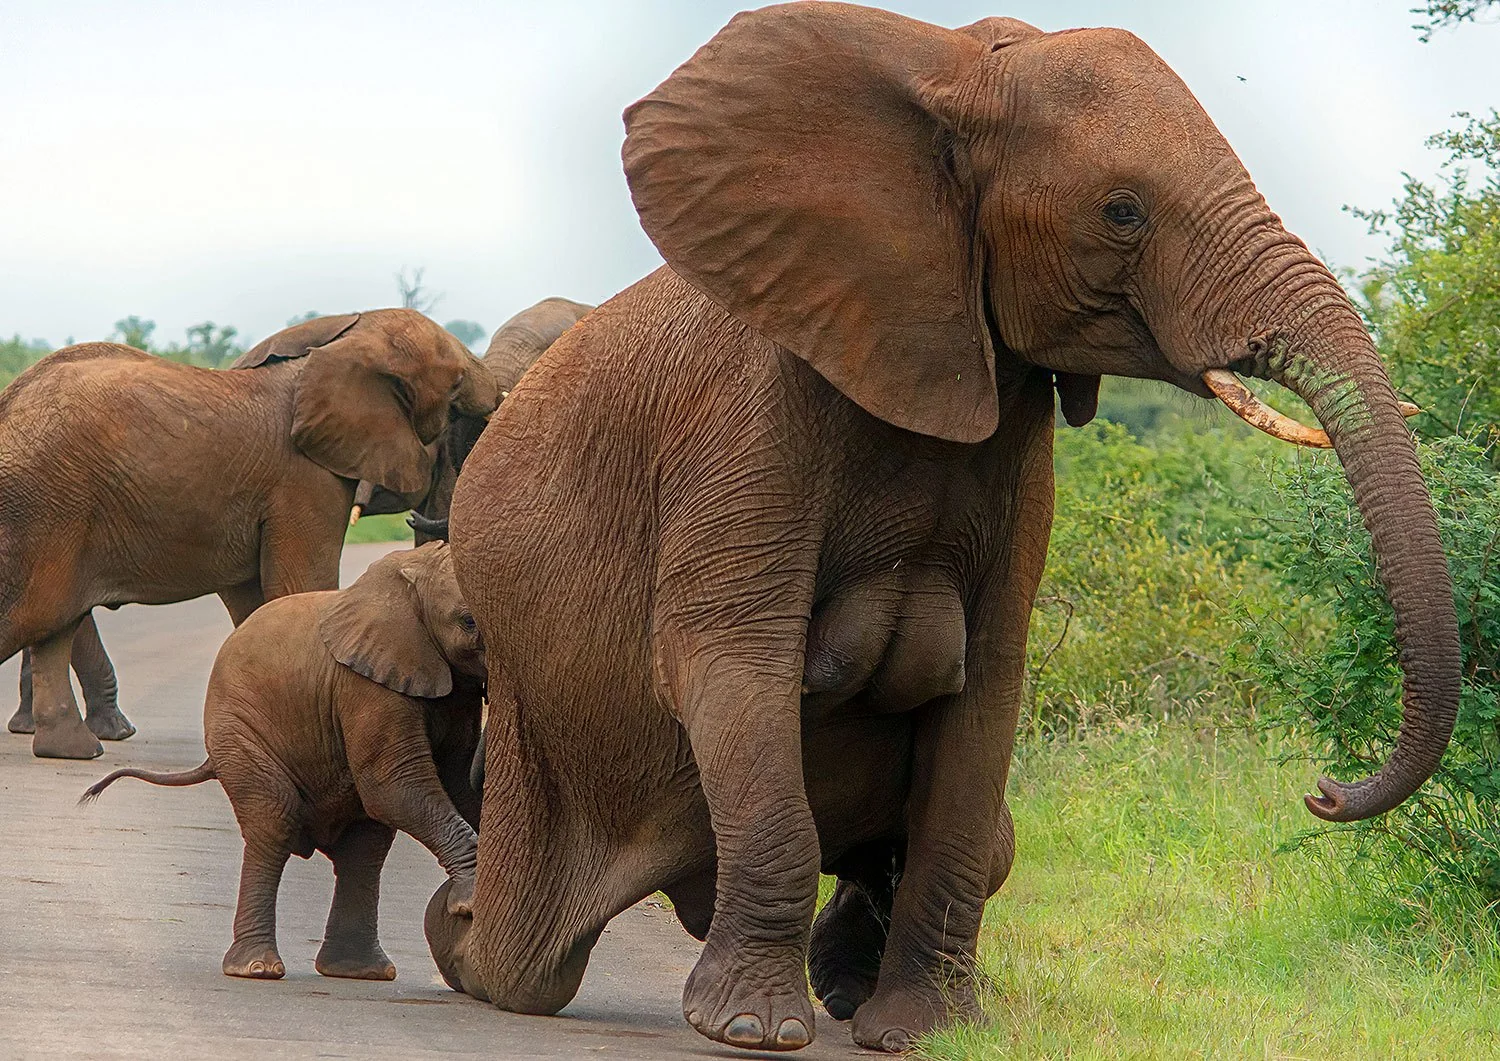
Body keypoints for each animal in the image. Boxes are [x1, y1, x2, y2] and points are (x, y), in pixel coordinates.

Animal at [0, 310, 504, 759]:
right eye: (456, 382)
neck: (342, 348)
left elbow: (254, 602)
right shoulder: (303, 481)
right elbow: (300, 585)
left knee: (56, 622)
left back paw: (73, 750)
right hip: (50, 505)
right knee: (40, 614)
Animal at [82, 543, 483, 984]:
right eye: (468, 621)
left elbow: (455, 783)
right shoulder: (366, 685)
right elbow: (393, 786)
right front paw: (468, 901)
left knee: (365, 847)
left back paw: (360, 971)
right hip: (239, 737)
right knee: (275, 820)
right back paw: (257, 968)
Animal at [432, 6, 1452, 1056]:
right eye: (1122, 212)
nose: (1325, 790)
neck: (951, 70)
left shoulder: (1017, 445)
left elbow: (984, 707)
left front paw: (920, 1031)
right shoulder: (746, 425)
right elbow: (732, 663)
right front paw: (754, 1027)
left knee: (986, 838)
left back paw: (845, 979)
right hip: (535, 718)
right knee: (525, 959)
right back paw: (467, 943)